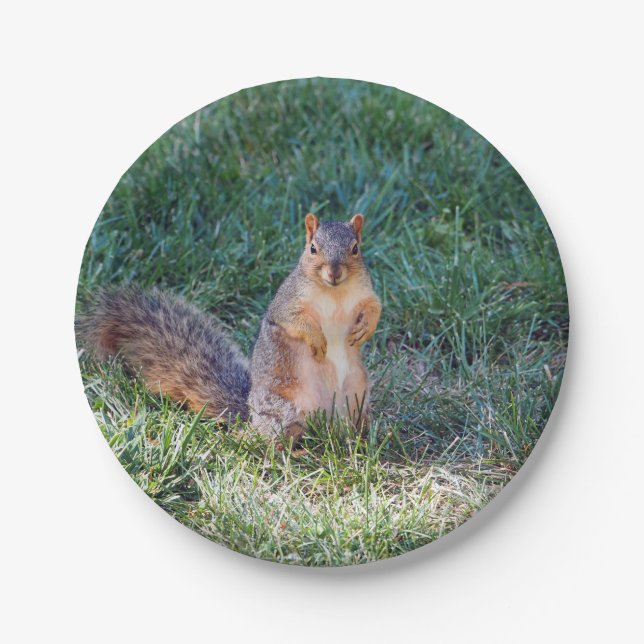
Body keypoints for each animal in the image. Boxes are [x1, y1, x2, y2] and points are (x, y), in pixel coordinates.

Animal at [77, 213, 382, 441]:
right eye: (313, 249)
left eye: (355, 249)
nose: (334, 273)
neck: (335, 293)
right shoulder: (288, 302)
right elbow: (293, 320)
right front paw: (317, 338)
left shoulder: (365, 293)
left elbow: (375, 306)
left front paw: (365, 328)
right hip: (285, 411)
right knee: (269, 440)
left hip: (357, 394)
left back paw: (361, 437)